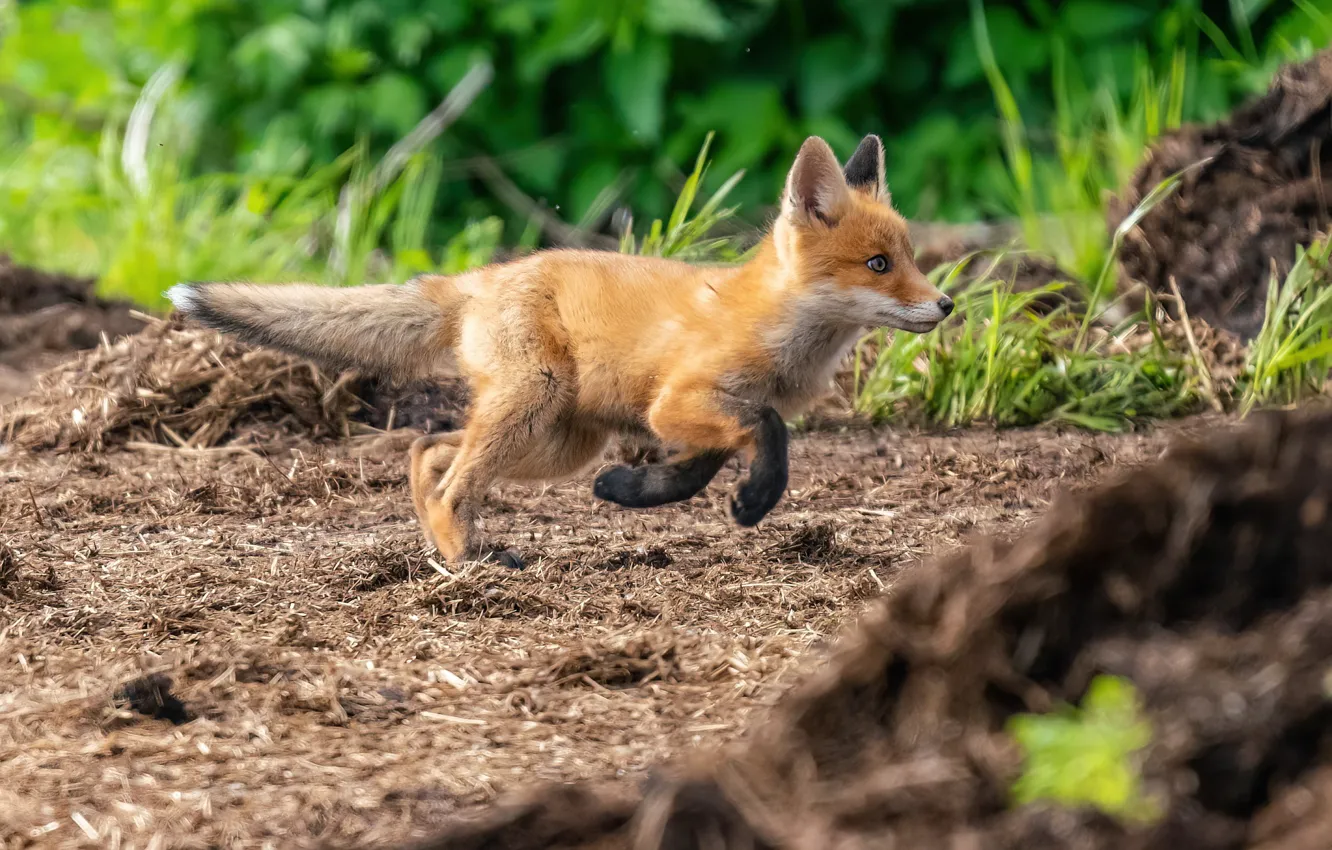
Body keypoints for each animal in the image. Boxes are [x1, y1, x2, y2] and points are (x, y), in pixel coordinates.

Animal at [168, 134, 953, 569]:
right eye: (879, 264)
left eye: (912, 258)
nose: (947, 305)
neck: (772, 328)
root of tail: (480, 277)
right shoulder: (678, 404)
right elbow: (767, 431)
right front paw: (755, 499)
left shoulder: (682, 420)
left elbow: (699, 467)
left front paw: (635, 491)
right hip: (535, 404)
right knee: (449, 474)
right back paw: (466, 560)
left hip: (558, 440)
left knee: (429, 451)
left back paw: (451, 544)